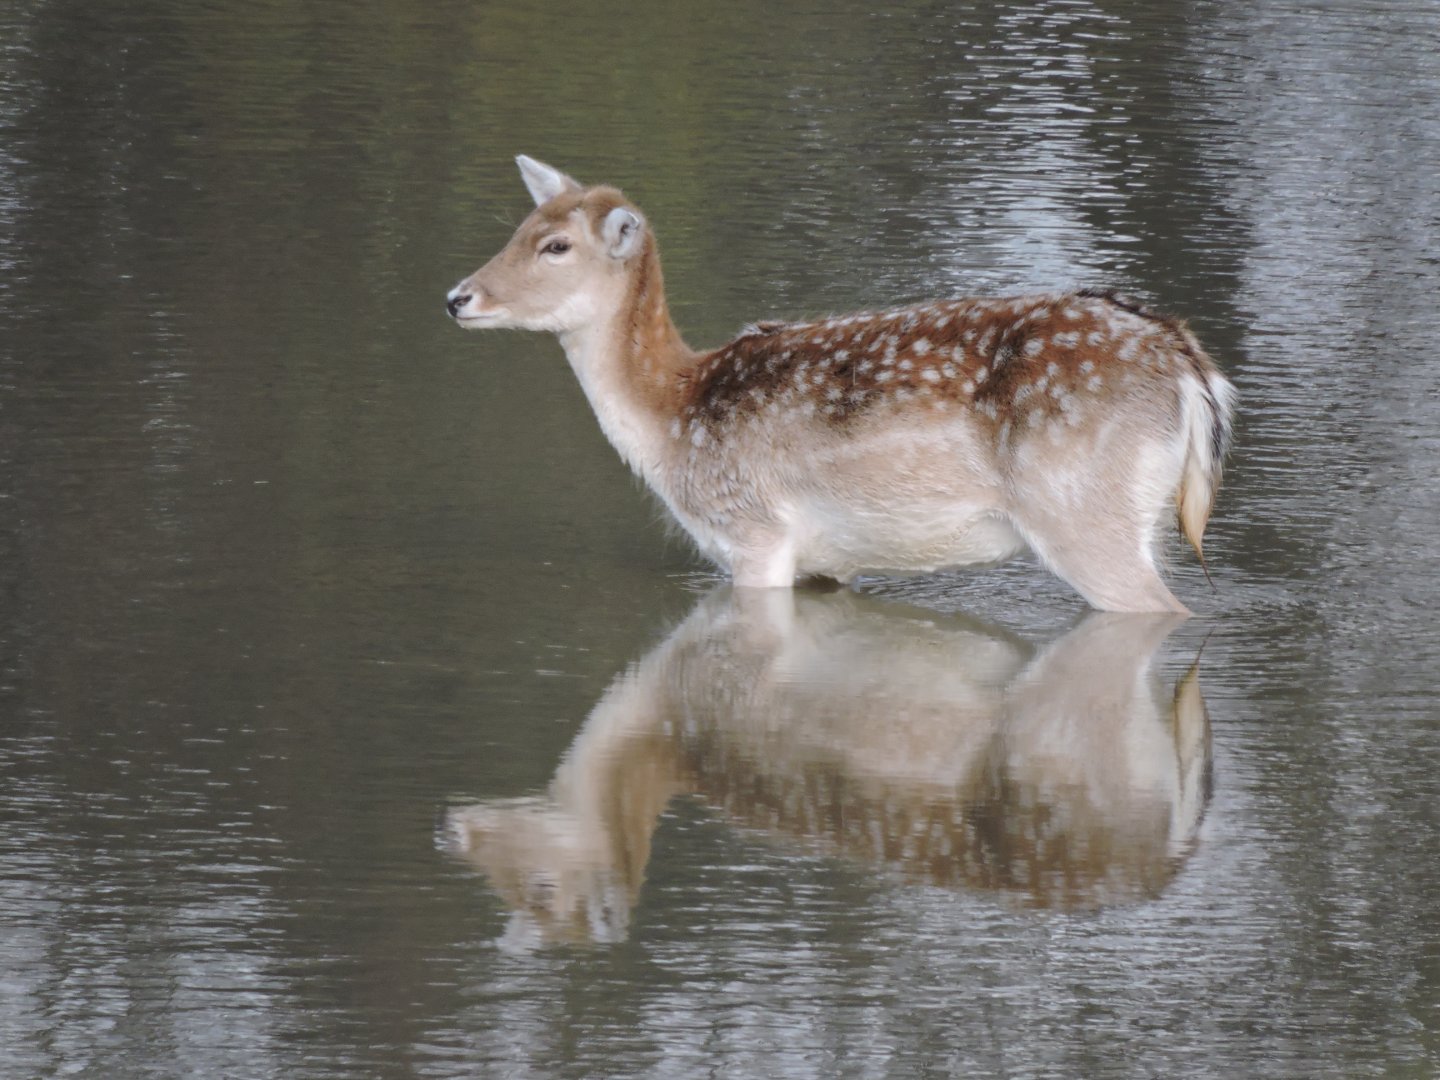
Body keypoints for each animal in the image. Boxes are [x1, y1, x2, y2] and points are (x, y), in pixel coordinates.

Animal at [446, 156, 1237, 612]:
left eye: (555, 246)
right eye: (520, 228)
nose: (458, 297)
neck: (673, 418)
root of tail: (1189, 367)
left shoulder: (755, 532)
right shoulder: (831, 565)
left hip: (1083, 510)